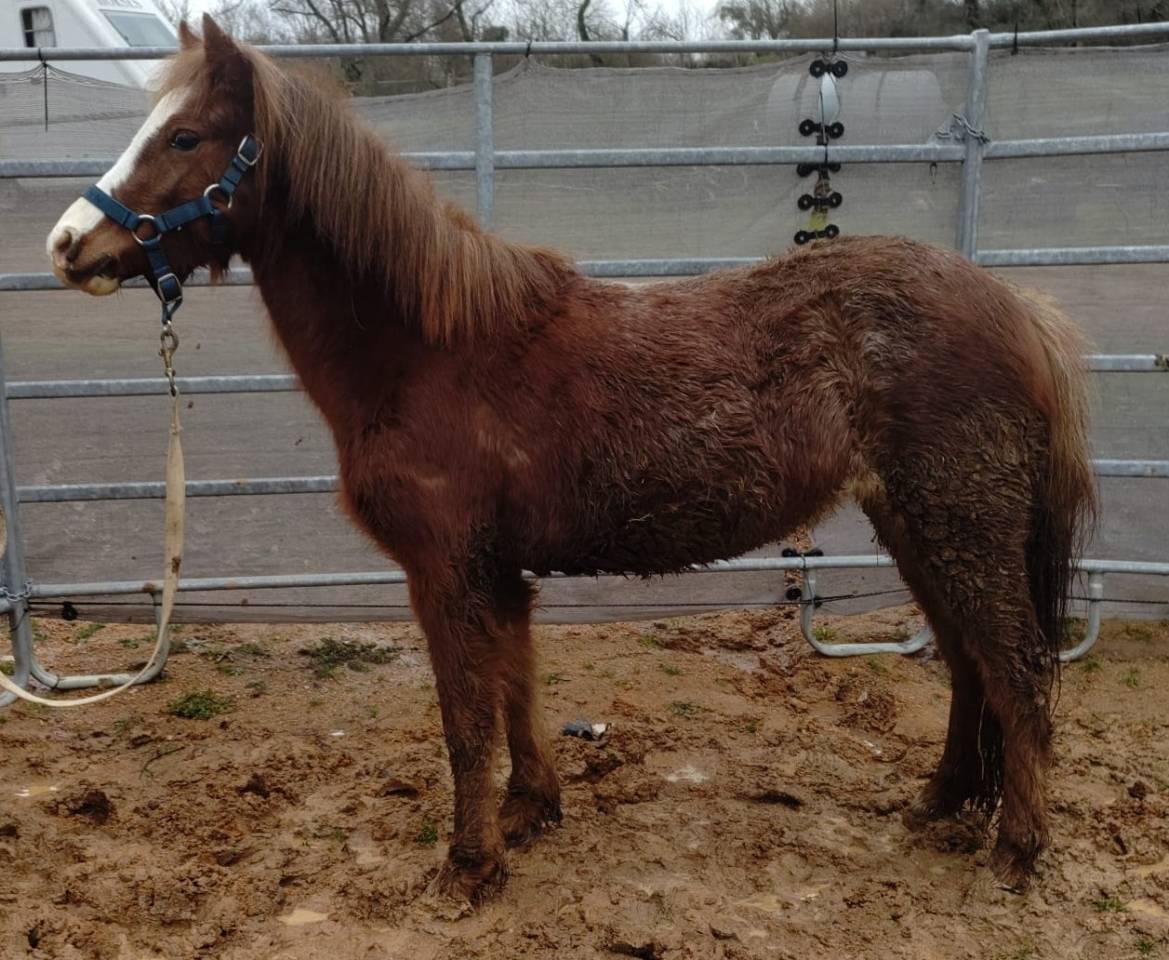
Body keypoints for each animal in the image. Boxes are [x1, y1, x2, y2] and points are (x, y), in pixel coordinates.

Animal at [46, 16, 1095, 901]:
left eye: (185, 138)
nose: (68, 245)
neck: (429, 348)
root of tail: (1017, 311)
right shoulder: (497, 571)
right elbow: (516, 690)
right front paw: (530, 810)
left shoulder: (445, 570)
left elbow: (465, 721)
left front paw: (469, 868)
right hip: (917, 524)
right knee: (968, 662)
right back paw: (942, 803)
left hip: (959, 524)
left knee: (1017, 669)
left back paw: (1016, 850)